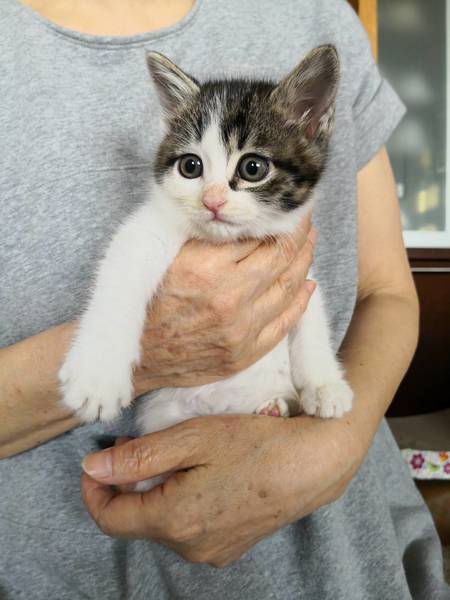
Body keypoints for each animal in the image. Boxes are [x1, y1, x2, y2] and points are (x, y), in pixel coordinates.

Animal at [59, 45, 353, 489]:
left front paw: (324, 384)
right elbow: (119, 278)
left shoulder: (298, 271)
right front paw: (97, 375)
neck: (228, 242)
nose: (212, 200)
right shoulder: (145, 233)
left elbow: (312, 319)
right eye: (190, 167)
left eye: (253, 168)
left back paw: (276, 407)